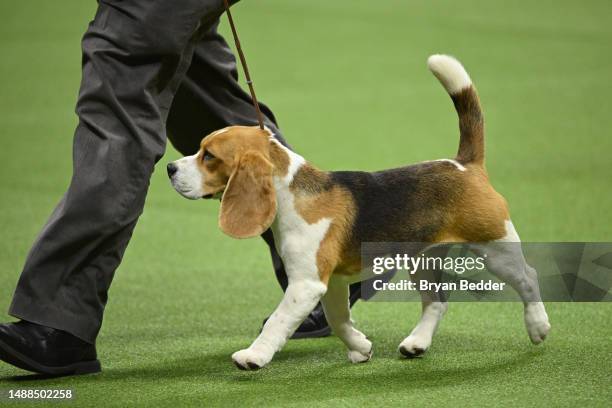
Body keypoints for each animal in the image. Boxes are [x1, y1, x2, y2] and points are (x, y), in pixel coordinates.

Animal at [166, 55, 548, 372]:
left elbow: (278, 322)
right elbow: (337, 320)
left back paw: (538, 325)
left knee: (528, 277)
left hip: (495, 245)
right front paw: (361, 347)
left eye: (209, 156)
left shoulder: (306, 283)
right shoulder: (331, 283)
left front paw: (254, 356)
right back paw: (417, 343)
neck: (290, 193)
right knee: (436, 302)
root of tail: (465, 164)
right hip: (423, 258)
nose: (170, 168)